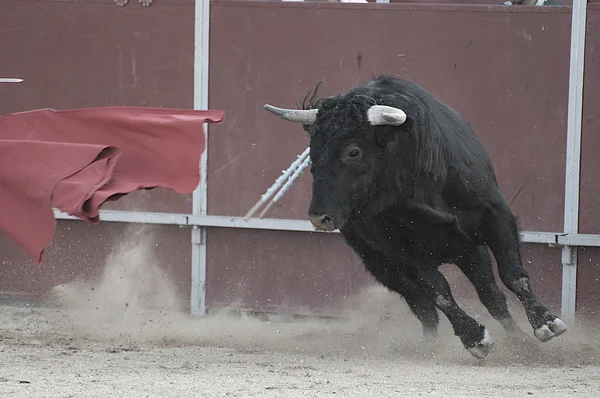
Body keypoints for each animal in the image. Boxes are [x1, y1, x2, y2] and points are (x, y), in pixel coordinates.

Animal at [266, 74, 568, 358]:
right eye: (313, 153)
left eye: (353, 151)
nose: (320, 217)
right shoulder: (401, 252)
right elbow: (439, 293)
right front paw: (474, 338)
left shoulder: (495, 216)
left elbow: (512, 274)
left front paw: (545, 322)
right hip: (382, 264)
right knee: (423, 307)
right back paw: (430, 347)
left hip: (469, 251)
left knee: (490, 294)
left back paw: (519, 341)